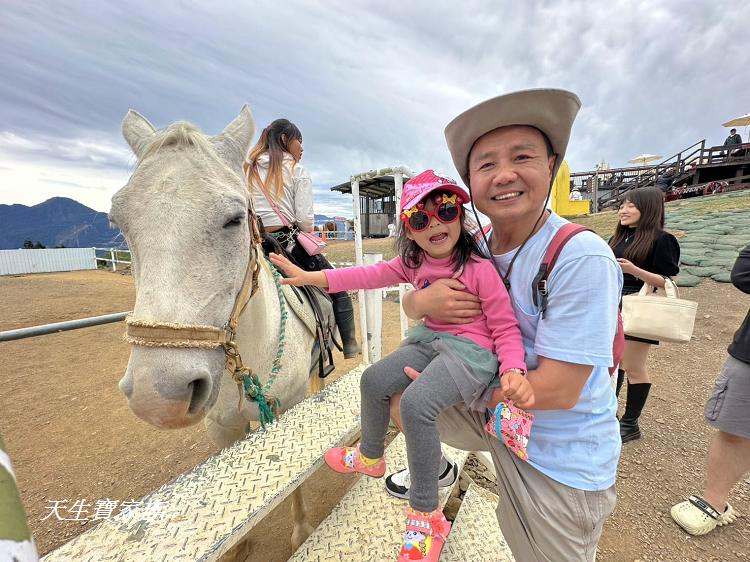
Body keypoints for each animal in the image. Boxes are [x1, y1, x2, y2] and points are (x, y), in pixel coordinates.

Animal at [110, 107, 328, 552]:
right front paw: (238, 546)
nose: (157, 396)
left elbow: (295, 475)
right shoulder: (222, 429)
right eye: (118, 221)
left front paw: (301, 530)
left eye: (234, 219)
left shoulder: (289, 410)